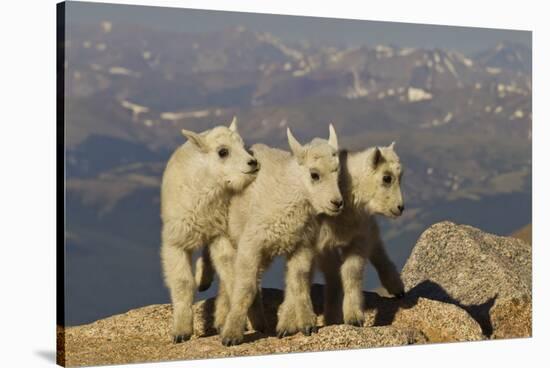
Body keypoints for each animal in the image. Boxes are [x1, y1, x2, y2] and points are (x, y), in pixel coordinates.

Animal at [162, 117, 260, 342]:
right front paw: (181, 332)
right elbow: (182, 282)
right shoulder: (176, 240)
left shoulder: (219, 233)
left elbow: (229, 271)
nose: (253, 163)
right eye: (223, 151)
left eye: (243, 145)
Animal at [218, 126, 342, 344]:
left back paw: (266, 323)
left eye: (337, 170)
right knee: (232, 276)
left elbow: (298, 281)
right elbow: (245, 288)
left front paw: (306, 324)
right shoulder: (251, 243)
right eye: (314, 174)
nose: (337, 203)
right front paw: (231, 335)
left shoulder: (302, 245)